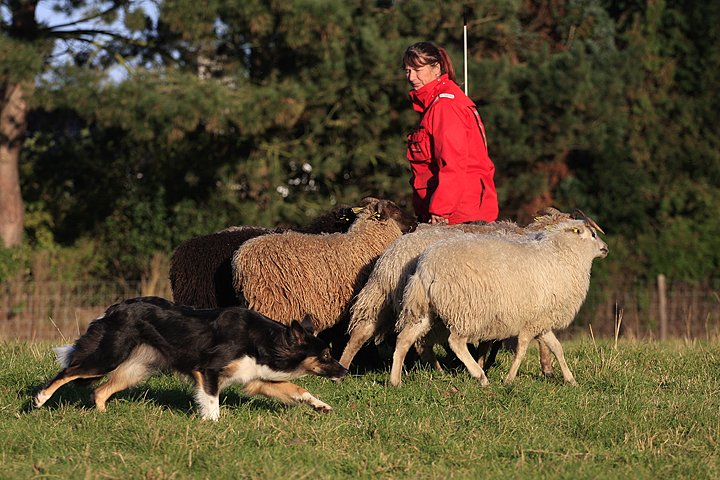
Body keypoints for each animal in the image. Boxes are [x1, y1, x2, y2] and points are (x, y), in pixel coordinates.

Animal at [33, 296, 348, 420]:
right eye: (325, 355)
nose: (345, 371)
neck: (266, 339)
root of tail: (113, 309)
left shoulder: (256, 379)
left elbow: (298, 389)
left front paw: (321, 406)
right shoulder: (208, 370)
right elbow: (212, 403)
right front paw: (213, 425)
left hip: (137, 369)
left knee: (99, 391)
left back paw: (102, 416)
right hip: (108, 357)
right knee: (68, 372)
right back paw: (40, 399)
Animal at [339, 208, 572, 372]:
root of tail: (395, 256)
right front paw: (546, 368)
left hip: (381, 295)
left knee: (362, 331)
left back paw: (344, 366)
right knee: (420, 342)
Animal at [388, 213, 608, 387]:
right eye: (593, 234)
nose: (605, 248)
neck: (562, 256)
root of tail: (426, 267)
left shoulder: (541, 319)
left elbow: (557, 348)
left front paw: (571, 380)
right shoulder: (532, 321)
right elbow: (522, 349)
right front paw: (509, 379)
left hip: (426, 310)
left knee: (404, 339)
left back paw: (395, 381)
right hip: (467, 309)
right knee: (455, 342)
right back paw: (480, 376)